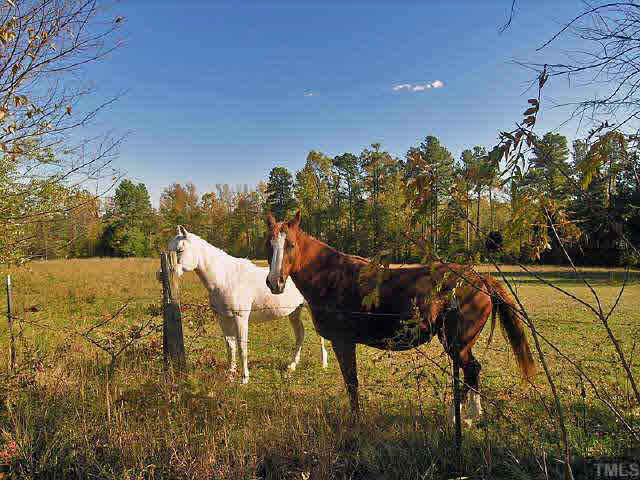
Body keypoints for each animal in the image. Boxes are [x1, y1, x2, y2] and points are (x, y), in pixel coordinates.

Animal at [161, 225, 328, 384]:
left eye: (180, 249)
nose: (161, 274)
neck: (225, 278)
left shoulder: (240, 318)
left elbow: (242, 348)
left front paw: (244, 378)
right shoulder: (224, 318)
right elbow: (230, 347)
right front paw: (230, 376)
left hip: (311, 309)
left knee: (319, 335)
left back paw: (324, 364)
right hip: (294, 312)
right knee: (300, 334)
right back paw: (292, 366)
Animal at [264, 211, 535, 423]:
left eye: (291, 245)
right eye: (269, 244)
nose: (275, 283)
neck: (331, 276)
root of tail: (481, 279)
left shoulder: (344, 342)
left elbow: (352, 383)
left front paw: (355, 420)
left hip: (457, 343)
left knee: (470, 370)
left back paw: (460, 416)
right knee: (472, 371)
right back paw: (471, 415)